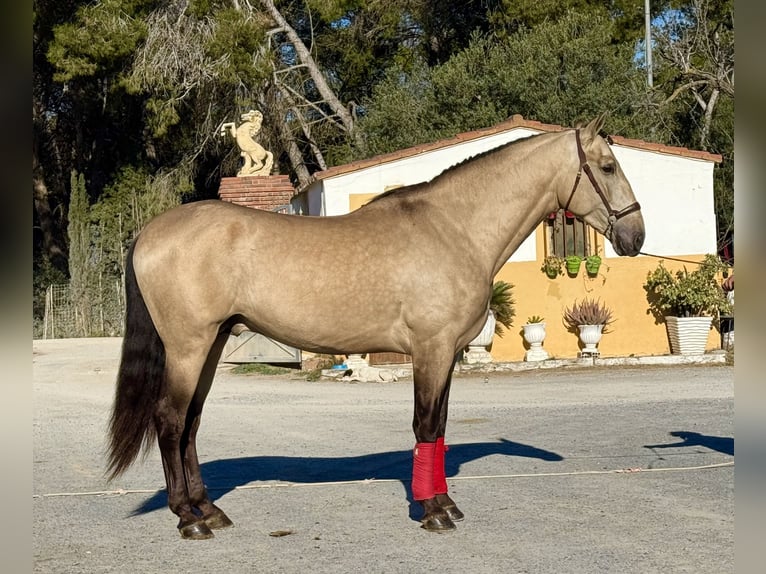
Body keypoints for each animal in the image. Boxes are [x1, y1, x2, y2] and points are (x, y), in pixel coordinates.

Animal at [108, 116, 644, 540]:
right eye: (608, 167)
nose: (635, 237)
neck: (454, 228)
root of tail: (151, 232)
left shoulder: (446, 353)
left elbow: (439, 426)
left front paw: (444, 503)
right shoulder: (431, 348)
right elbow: (425, 424)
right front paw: (432, 511)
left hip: (214, 343)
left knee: (191, 423)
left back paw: (209, 509)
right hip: (189, 345)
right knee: (170, 420)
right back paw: (188, 518)